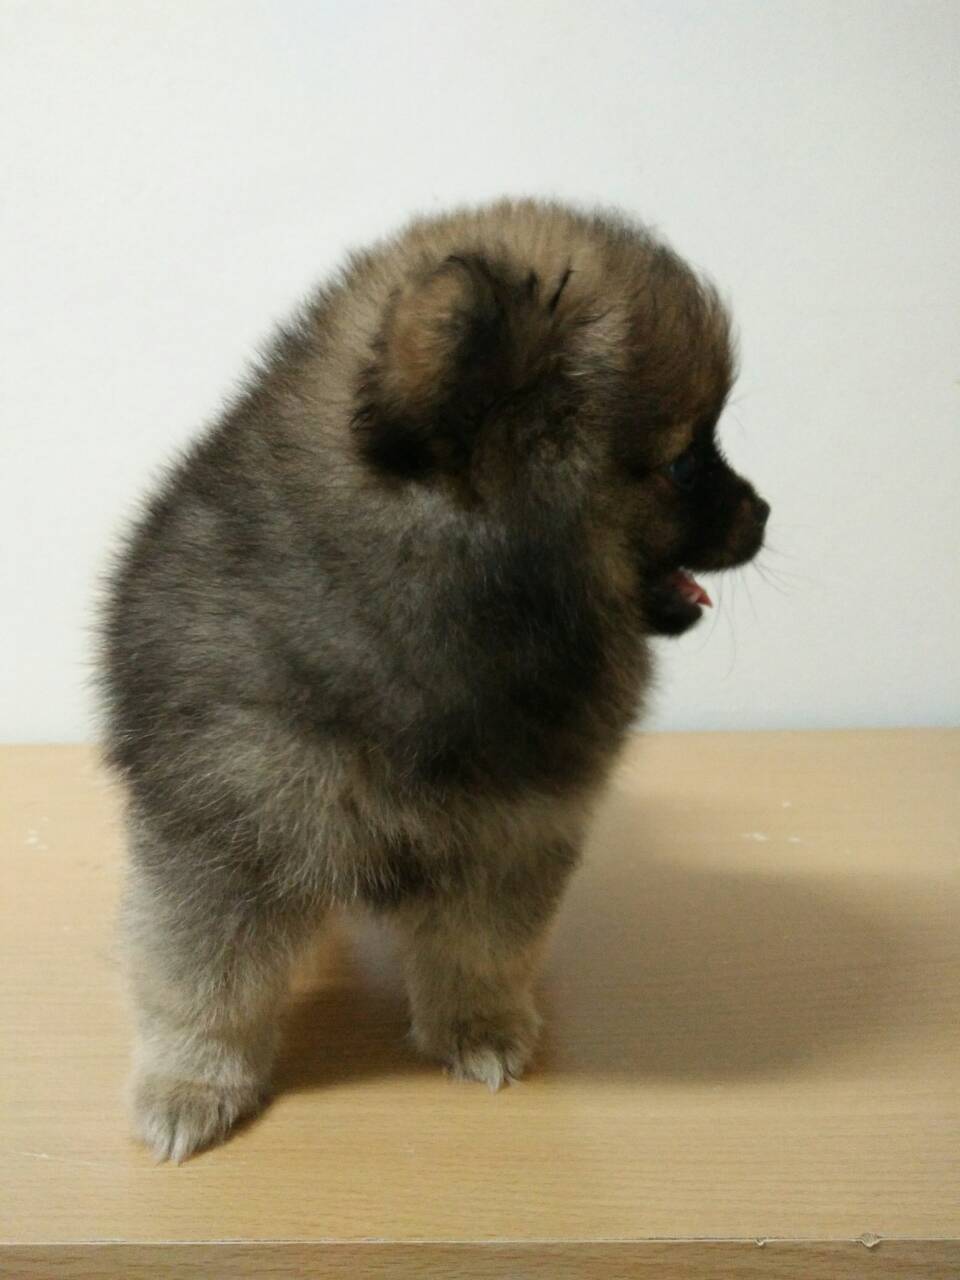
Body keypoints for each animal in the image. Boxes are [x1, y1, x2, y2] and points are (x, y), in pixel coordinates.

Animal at [97, 198, 769, 1161]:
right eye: (685, 463)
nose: (764, 510)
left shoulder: (514, 830)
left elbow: (480, 952)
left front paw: (478, 1029)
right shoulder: (224, 831)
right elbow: (202, 982)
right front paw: (190, 1083)